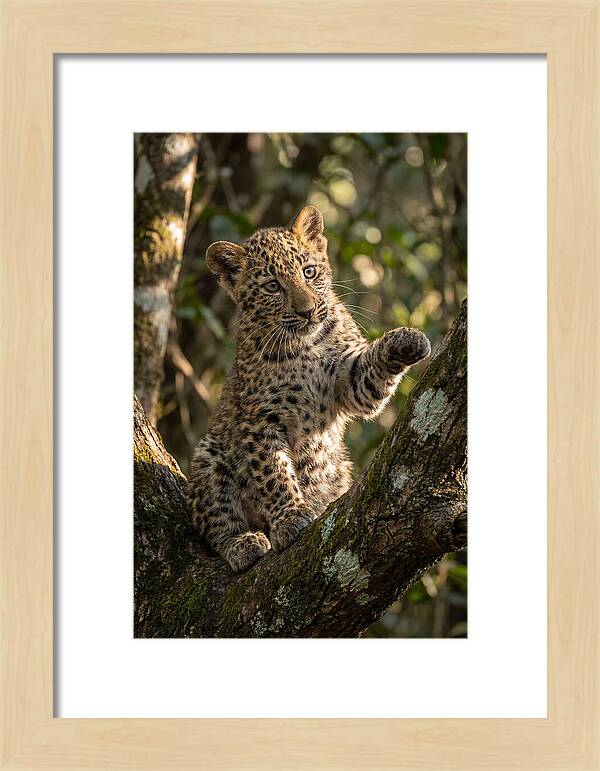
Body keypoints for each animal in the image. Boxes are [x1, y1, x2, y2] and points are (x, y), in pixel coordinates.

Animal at [188, 205, 431, 572]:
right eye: (273, 286)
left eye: (310, 271)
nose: (307, 311)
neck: (305, 346)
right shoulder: (260, 420)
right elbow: (273, 473)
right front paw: (290, 518)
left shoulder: (349, 382)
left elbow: (369, 374)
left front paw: (406, 339)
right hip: (209, 457)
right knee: (214, 523)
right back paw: (243, 543)